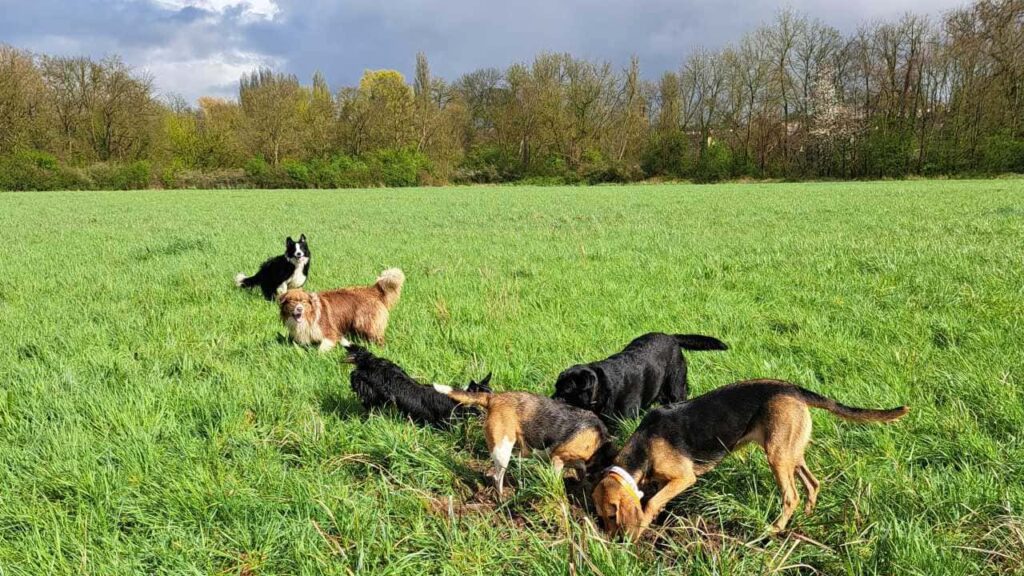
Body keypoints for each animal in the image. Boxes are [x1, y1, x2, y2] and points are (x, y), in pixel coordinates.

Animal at [434, 379, 614, 496]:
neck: (599, 442)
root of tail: (493, 398)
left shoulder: (578, 465)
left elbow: (581, 474)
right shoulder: (557, 459)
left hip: (516, 450)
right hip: (502, 451)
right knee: (497, 478)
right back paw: (502, 499)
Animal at [552, 332, 729, 422]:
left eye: (566, 391)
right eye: (556, 387)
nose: (551, 399)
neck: (603, 387)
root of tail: (670, 336)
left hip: (675, 387)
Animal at [593, 379, 913, 537]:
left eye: (611, 515)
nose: (611, 540)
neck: (642, 448)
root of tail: (791, 388)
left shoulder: (685, 477)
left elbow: (651, 501)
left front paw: (642, 526)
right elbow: (655, 498)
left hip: (778, 456)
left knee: (792, 495)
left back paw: (776, 528)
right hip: (791, 452)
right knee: (813, 484)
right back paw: (806, 518)